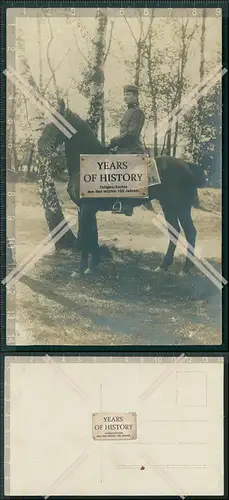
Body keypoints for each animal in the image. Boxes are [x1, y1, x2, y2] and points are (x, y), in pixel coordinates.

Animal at [37, 99, 206, 276]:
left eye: (56, 123)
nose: (40, 146)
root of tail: (186, 165)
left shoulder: (86, 208)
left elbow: (85, 236)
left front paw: (81, 269)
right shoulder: (85, 209)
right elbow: (93, 236)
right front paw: (93, 266)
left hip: (181, 207)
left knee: (190, 232)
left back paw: (185, 269)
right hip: (168, 206)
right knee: (175, 231)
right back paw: (163, 265)